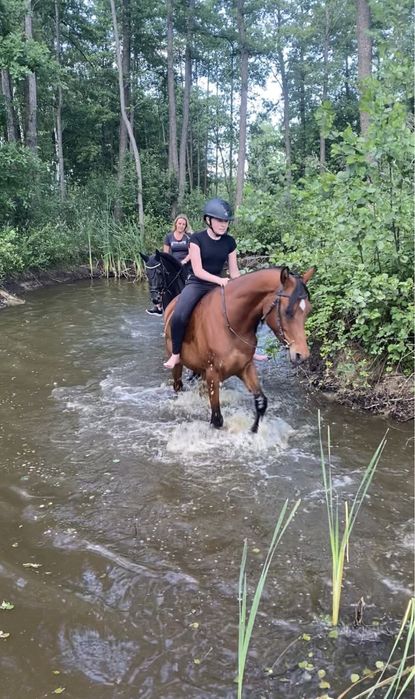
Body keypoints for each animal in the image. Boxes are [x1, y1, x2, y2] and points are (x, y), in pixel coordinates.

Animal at [164, 266, 314, 432]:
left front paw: (253, 430)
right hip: (178, 364)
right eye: (288, 311)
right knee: (178, 385)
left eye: (308, 310)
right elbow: (217, 418)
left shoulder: (245, 367)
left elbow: (261, 402)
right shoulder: (212, 373)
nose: (302, 355)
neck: (232, 324)